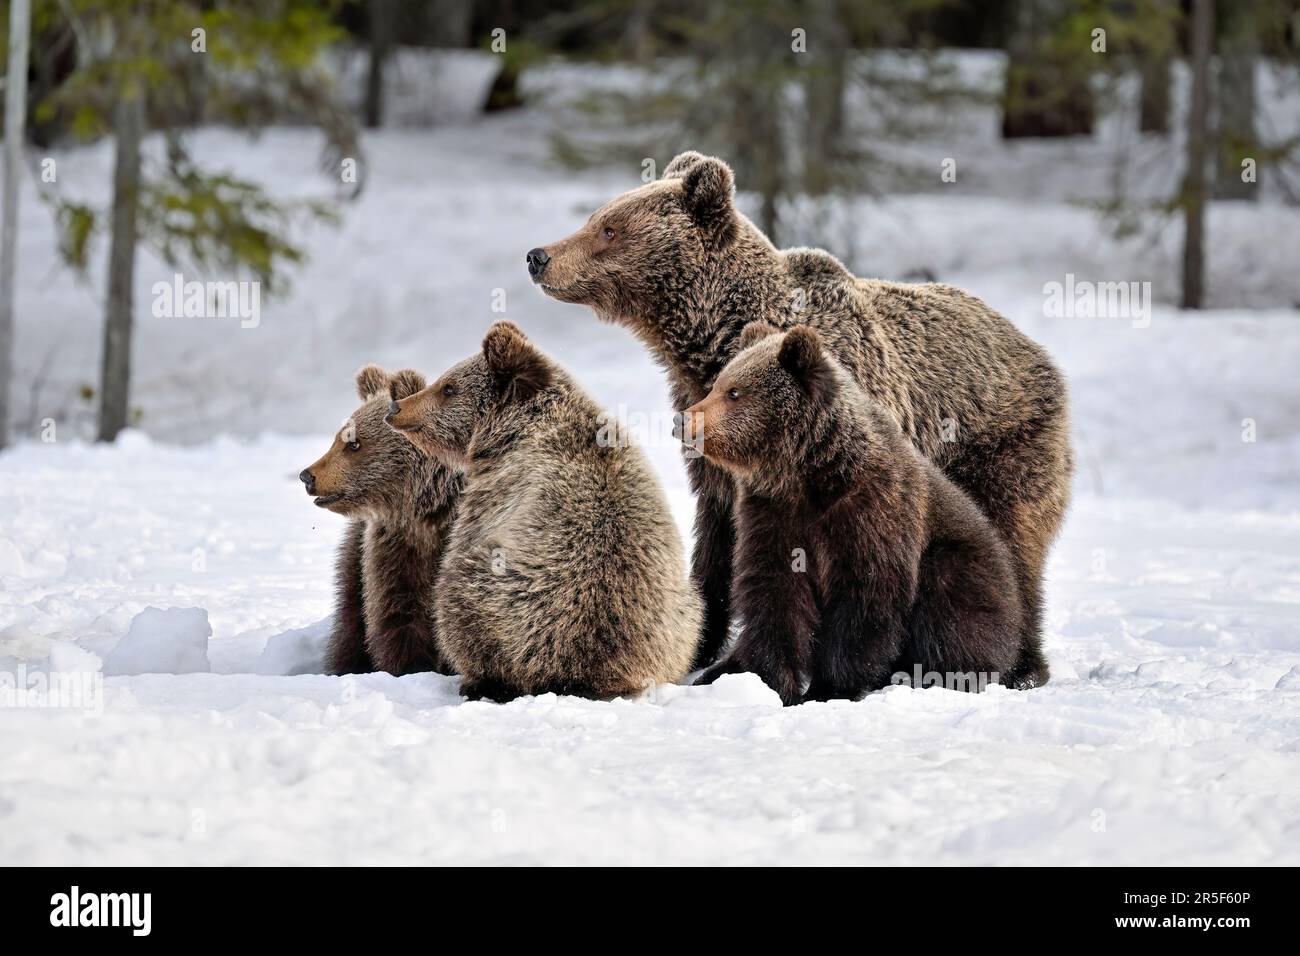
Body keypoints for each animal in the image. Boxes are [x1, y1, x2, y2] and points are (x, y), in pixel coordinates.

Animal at [299, 365, 462, 676]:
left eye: (354, 443)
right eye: (338, 438)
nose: (308, 476)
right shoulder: (396, 546)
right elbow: (398, 614)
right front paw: (411, 668)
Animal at [383, 321, 701, 702]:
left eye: (448, 387)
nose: (396, 408)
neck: (511, 433)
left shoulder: (490, 500)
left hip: (509, 603)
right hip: (681, 616)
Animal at [677, 322, 1025, 705]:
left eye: (734, 392)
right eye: (718, 384)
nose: (684, 421)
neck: (808, 476)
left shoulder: (872, 512)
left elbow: (864, 599)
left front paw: (829, 688)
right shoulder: (772, 516)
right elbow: (774, 594)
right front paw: (757, 676)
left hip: (964, 565)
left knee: (952, 610)